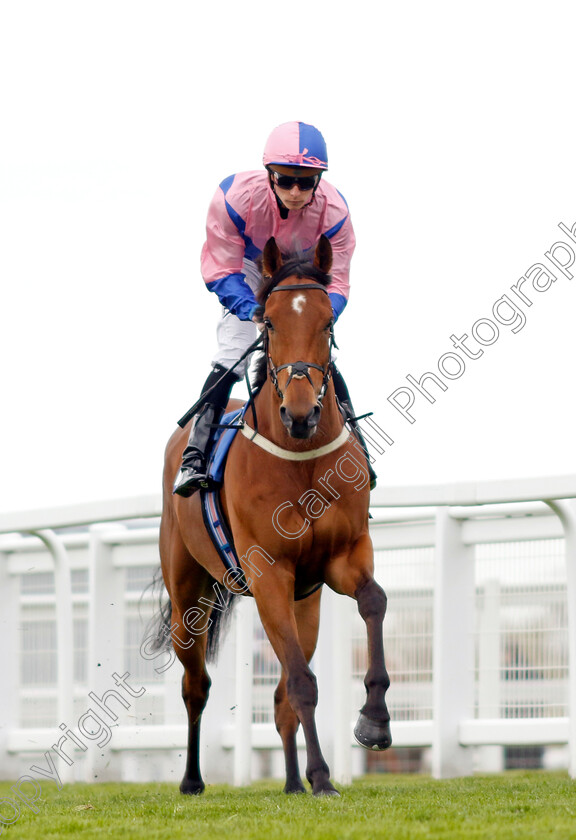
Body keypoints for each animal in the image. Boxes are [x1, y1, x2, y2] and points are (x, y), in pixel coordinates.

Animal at [158, 235, 392, 796]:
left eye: (328, 322)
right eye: (267, 322)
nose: (301, 414)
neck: (300, 459)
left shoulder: (342, 558)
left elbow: (373, 601)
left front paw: (373, 721)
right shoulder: (269, 575)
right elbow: (303, 683)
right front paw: (324, 777)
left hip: (304, 602)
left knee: (281, 695)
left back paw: (290, 782)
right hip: (188, 595)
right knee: (196, 685)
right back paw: (193, 780)